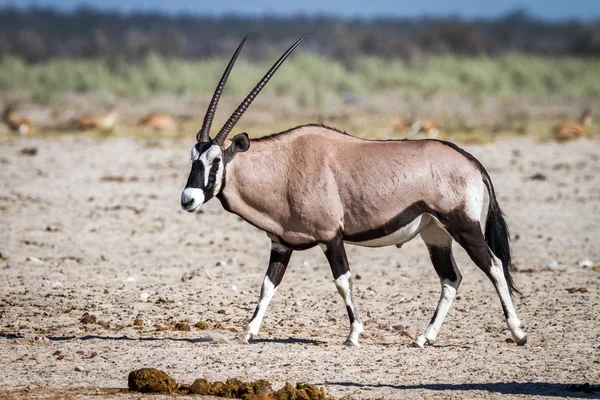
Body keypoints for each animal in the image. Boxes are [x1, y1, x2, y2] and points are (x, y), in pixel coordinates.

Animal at [180, 38, 528, 350]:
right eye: (193, 157)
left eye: (216, 160)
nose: (188, 199)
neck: (284, 165)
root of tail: (472, 163)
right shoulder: (281, 243)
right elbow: (268, 285)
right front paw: (247, 332)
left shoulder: (331, 236)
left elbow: (342, 282)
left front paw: (353, 335)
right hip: (435, 234)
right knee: (451, 279)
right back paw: (424, 338)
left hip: (463, 225)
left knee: (494, 266)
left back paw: (518, 333)